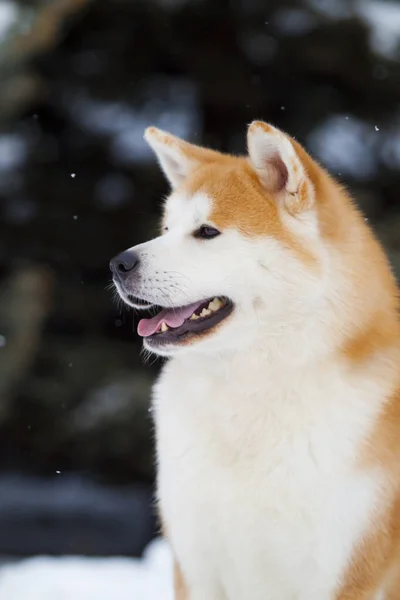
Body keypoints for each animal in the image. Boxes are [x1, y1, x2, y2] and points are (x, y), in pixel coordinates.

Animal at [111, 122, 400, 600]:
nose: (119, 263)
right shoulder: (195, 565)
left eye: (207, 232)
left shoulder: (344, 572)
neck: (251, 387)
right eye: (166, 228)